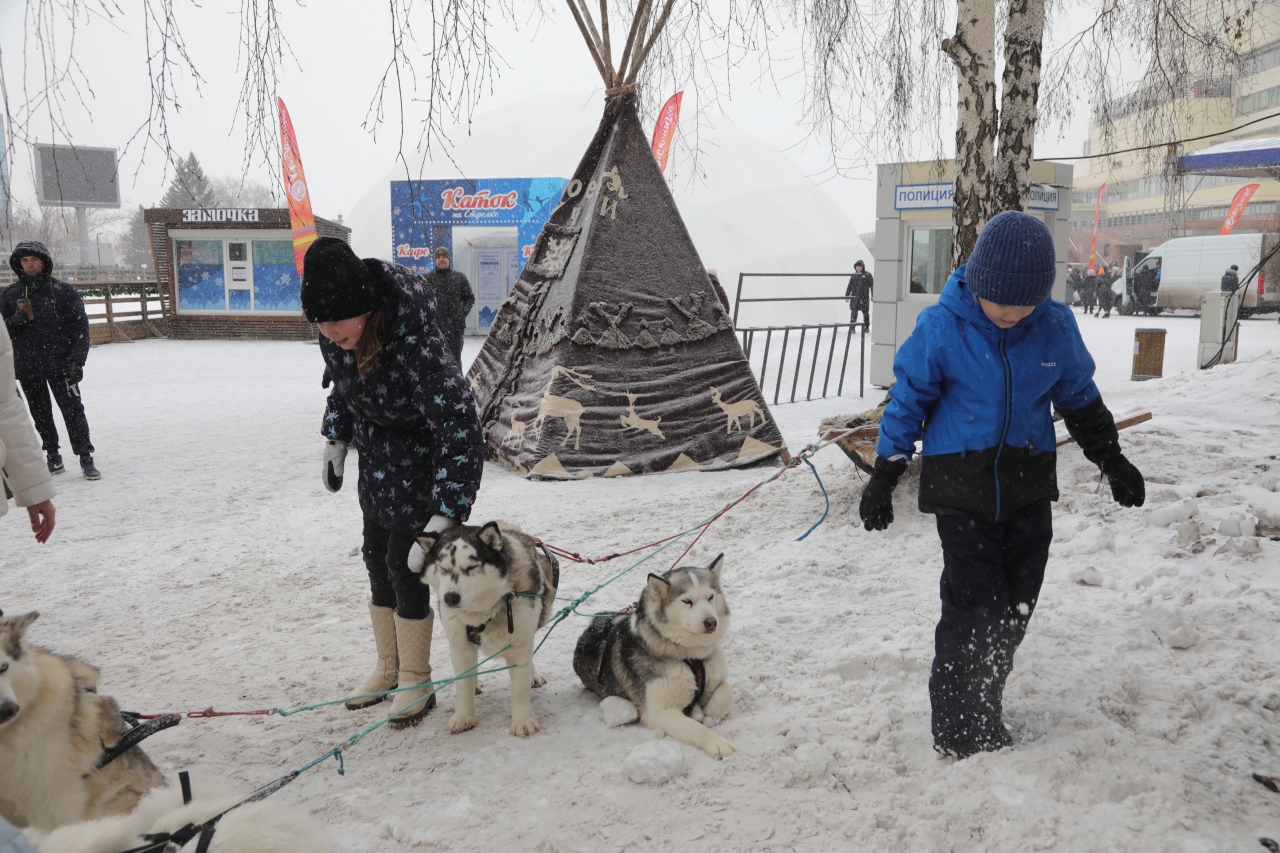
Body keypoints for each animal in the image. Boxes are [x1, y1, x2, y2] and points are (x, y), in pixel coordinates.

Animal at [415, 521, 558, 737]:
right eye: (443, 568)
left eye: (472, 566)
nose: (450, 598)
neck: (481, 615)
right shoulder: (460, 646)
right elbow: (463, 685)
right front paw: (463, 716)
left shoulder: (519, 643)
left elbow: (520, 688)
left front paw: (523, 721)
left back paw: (532, 676)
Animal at [572, 556, 736, 758]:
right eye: (687, 600)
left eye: (710, 597)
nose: (711, 622)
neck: (691, 657)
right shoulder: (659, 711)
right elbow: (697, 729)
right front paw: (717, 742)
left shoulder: (714, 675)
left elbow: (726, 692)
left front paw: (710, 711)